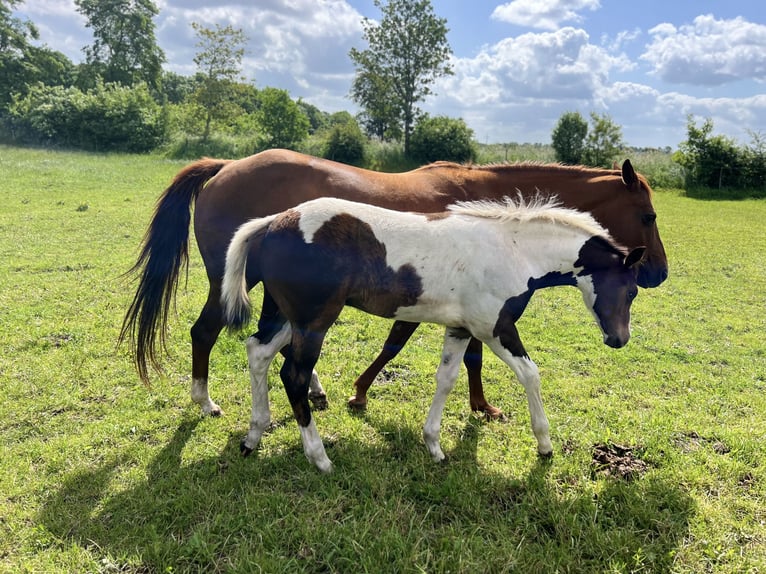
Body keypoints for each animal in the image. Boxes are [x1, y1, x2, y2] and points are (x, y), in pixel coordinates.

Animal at [120, 148, 664, 418]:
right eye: (648, 215)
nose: (657, 273)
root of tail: (226, 166)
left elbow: (430, 347)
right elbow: (420, 347)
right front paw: (478, 406)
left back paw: (310, 389)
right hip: (233, 283)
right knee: (205, 332)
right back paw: (205, 401)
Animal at [222, 198, 648, 472]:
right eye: (631, 290)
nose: (619, 339)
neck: (513, 250)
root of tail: (273, 222)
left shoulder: (459, 328)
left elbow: (446, 378)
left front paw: (434, 446)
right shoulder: (494, 328)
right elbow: (531, 374)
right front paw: (544, 445)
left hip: (287, 316)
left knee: (258, 351)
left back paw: (253, 436)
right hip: (314, 321)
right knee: (292, 375)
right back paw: (319, 457)